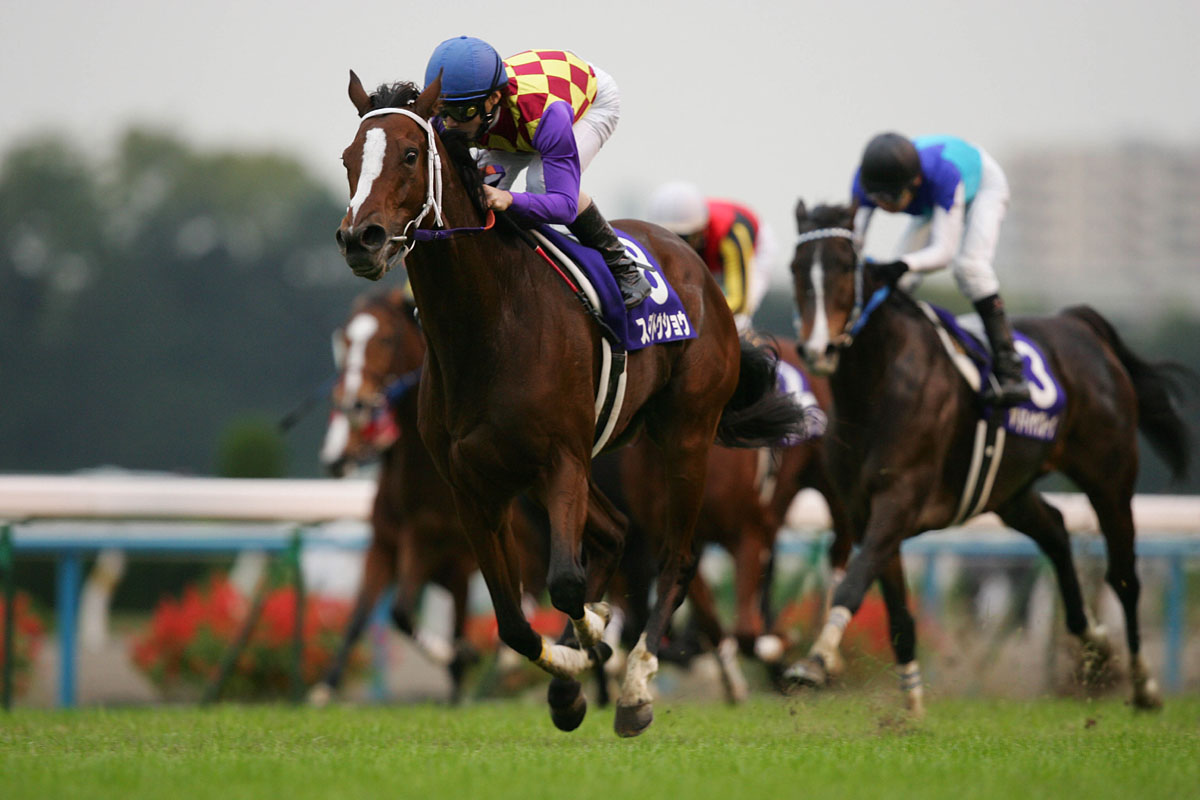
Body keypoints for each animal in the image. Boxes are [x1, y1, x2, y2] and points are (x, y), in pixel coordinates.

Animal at [309, 289, 550, 705]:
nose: (352, 402)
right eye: (345, 339)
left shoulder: (449, 556)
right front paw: (326, 687)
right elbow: (369, 613)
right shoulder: (391, 546)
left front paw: (457, 656)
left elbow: (416, 617)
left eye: (386, 338)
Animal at [335, 74, 806, 736]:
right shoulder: (475, 486)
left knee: (677, 559)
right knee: (615, 534)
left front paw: (593, 656)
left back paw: (637, 688)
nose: (362, 239)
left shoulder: (561, 462)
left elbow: (563, 582)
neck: (488, 324)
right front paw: (574, 665)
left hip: (684, 437)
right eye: (348, 159)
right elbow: (513, 618)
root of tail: (693, 265)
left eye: (408, 154)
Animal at [784, 201, 1194, 714]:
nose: (816, 348)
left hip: (1110, 478)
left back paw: (1143, 683)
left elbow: (854, 580)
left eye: (845, 266)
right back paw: (1094, 640)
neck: (876, 387)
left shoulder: (898, 500)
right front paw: (911, 707)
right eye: (796, 268)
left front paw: (814, 661)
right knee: (1056, 530)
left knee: (1123, 576)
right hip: (1008, 490)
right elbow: (896, 612)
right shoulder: (865, 512)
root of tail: (1079, 322)